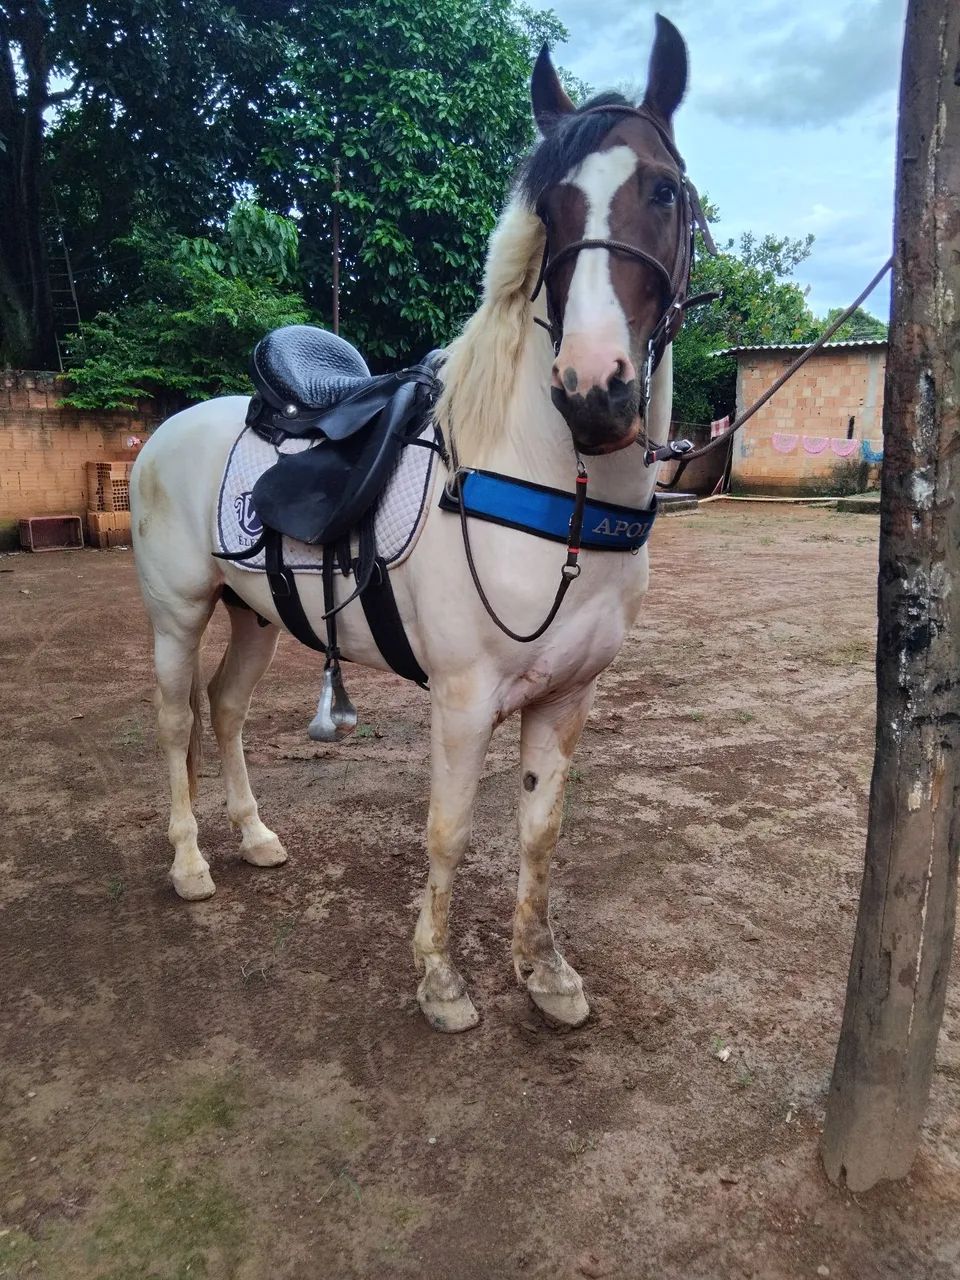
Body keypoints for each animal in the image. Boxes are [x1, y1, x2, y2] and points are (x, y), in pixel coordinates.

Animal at [130, 14, 708, 1033]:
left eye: (664, 190)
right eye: (550, 206)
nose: (592, 392)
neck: (557, 493)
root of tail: (166, 431)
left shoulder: (567, 700)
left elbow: (540, 833)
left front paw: (545, 972)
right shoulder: (464, 698)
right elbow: (447, 833)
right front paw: (440, 981)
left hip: (255, 614)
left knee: (226, 709)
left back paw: (255, 838)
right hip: (180, 615)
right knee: (174, 723)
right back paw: (192, 863)